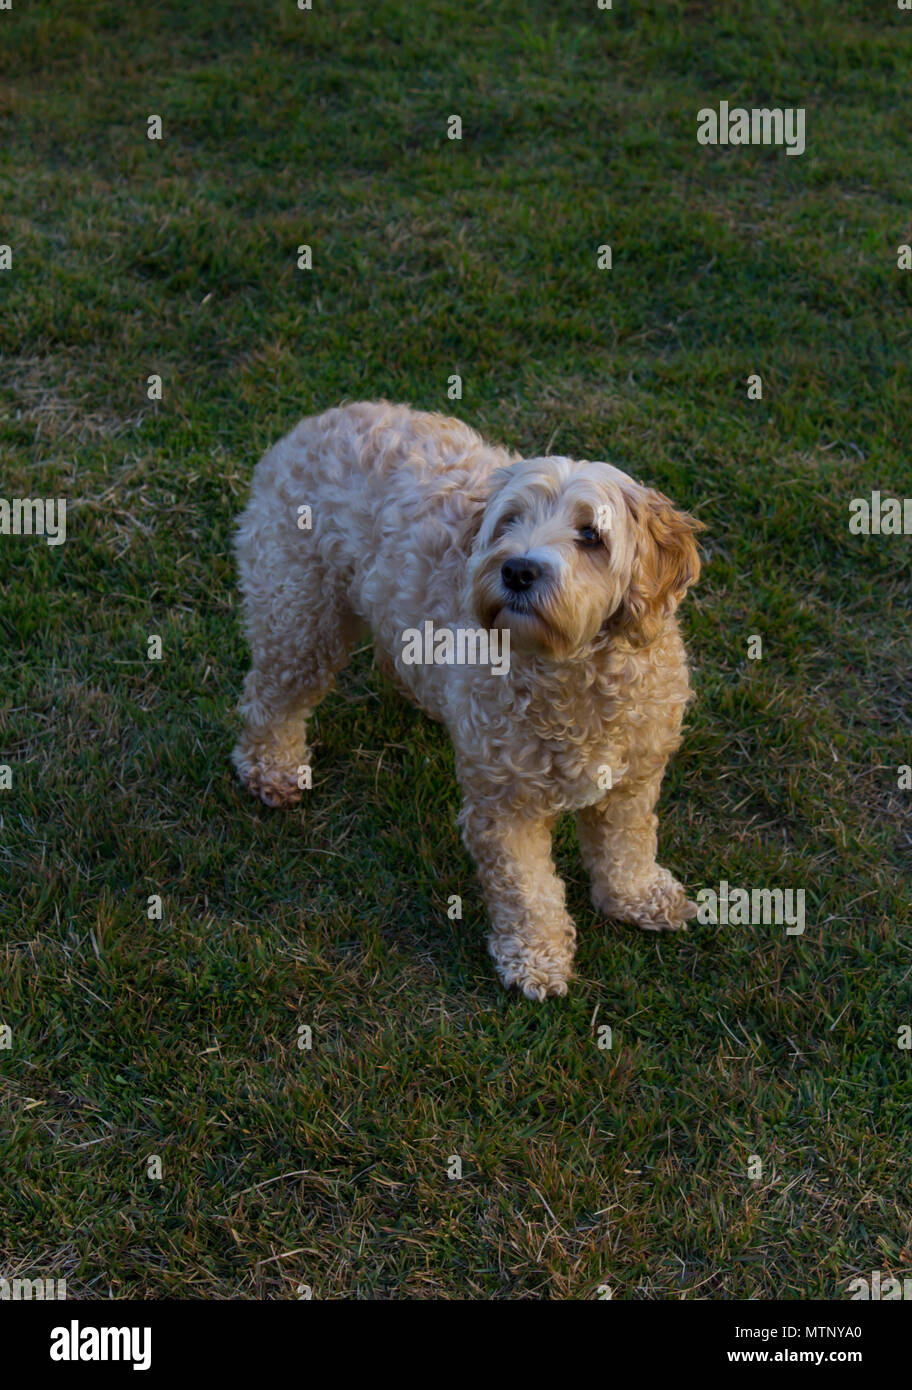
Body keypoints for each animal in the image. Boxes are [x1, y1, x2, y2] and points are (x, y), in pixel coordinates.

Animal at [232, 403, 700, 1000]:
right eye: (509, 522)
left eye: (591, 535)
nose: (517, 569)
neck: (571, 673)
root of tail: (321, 417)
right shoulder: (504, 805)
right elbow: (527, 889)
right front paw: (535, 958)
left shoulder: (633, 779)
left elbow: (628, 847)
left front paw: (637, 898)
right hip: (298, 615)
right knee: (271, 697)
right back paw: (272, 769)